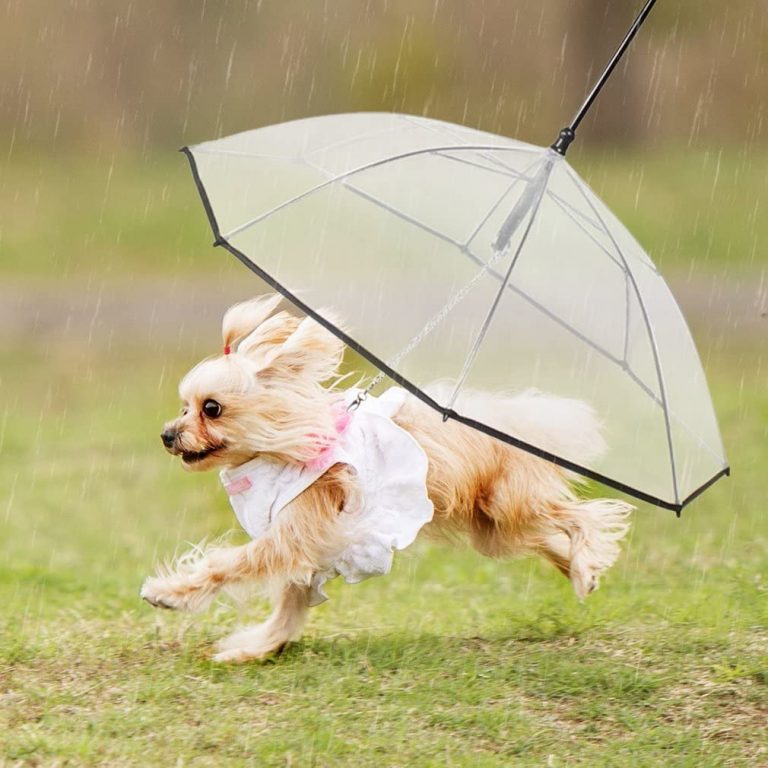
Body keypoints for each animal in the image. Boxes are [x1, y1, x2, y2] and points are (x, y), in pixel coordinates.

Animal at [141, 292, 632, 660]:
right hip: (494, 529)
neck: (280, 451)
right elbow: (289, 607)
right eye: (184, 407)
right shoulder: (313, 549)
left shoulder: (295, 535)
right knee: (545, 538)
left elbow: (227, 565)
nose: (166, 435)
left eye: (211, 408)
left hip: (509, 502)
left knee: (582, 516)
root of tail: (522, 424)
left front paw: (169, 593)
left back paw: (587, 562)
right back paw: (579, 572)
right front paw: (254, 648)